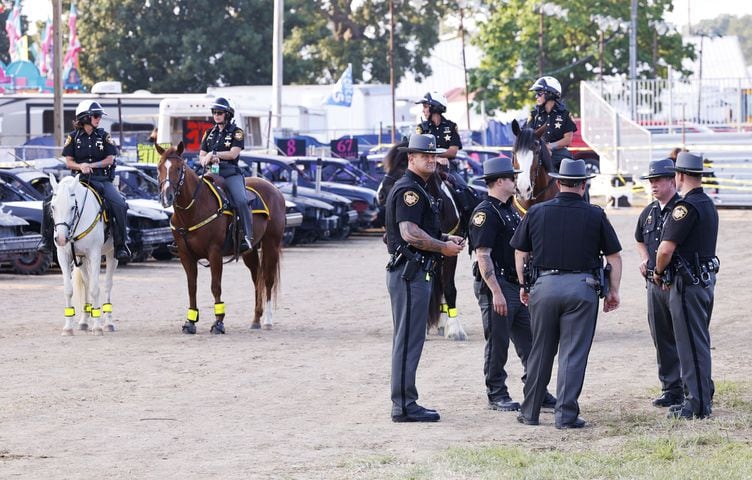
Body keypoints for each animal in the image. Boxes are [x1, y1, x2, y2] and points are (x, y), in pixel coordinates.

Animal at [50, 174, 117, 336]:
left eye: (72, 207)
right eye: (53, 207)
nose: (61, 239)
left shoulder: (95, 254)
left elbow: (95, 289)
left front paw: (98, 327)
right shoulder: (63, 256)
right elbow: (68, 290)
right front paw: (68, 328)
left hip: (111, 255)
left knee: (107, 285)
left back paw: (108, 323)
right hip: (82, 260)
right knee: (86, 283)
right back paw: (84, 321)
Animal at [156, 142, 284, 334]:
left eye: (179, 168)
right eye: (159, 168)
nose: (166, 197)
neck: (194, 209)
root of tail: (275, 189)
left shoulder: (214, 253)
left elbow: (215, 286)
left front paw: (218, 323)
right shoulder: (185, 255)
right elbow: (192, 287)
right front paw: (190, 322)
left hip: (271, 244)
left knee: (268, 279)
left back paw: (268, 320)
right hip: (250, 250)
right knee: (257, 279)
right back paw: (256, 319)